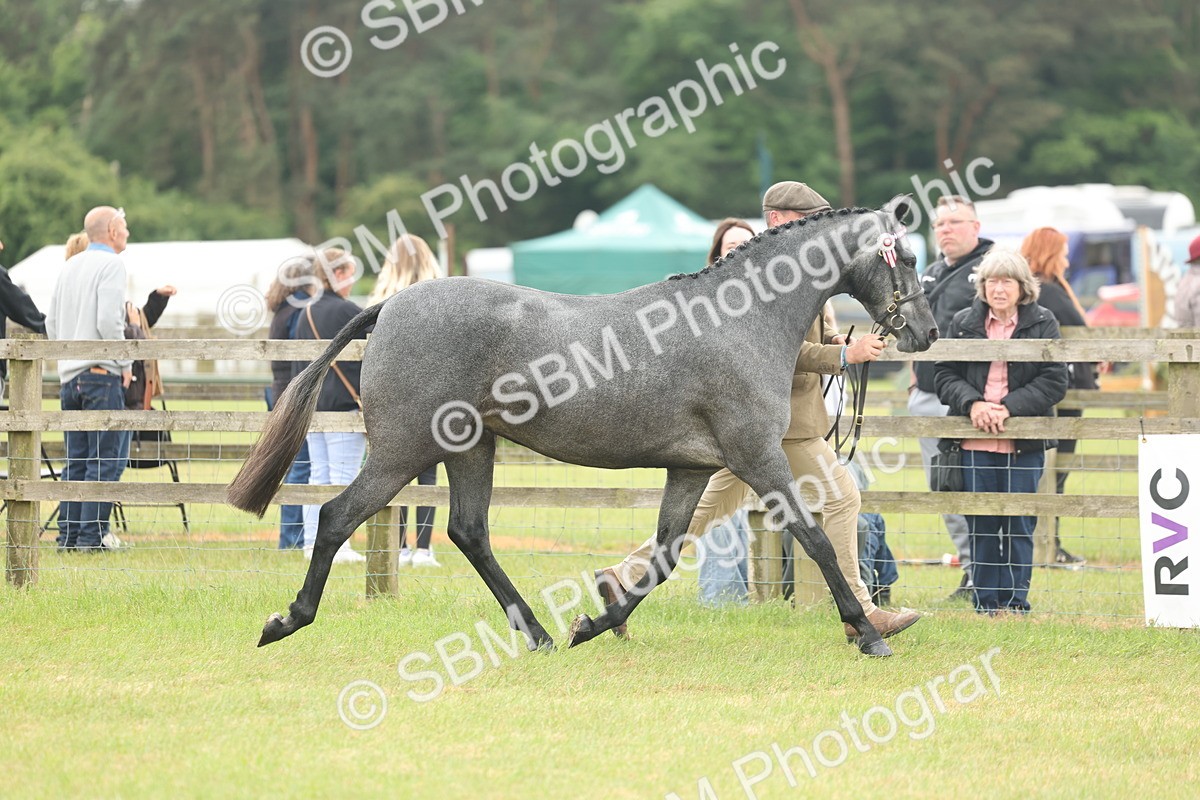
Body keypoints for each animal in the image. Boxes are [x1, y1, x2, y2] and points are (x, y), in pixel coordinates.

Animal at [228, 197, 937, 657]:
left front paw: (592, 624)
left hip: (470, 448)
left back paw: (542, 635)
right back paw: (284, 621)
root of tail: (393, 304)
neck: (739, 319)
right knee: (337, 516)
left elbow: (664, 556)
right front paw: (869, 634)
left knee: (469, 531)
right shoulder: (758, 456)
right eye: (905, 256)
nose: (926, 332)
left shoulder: (693, 467)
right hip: (404, 450)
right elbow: (816, 539)